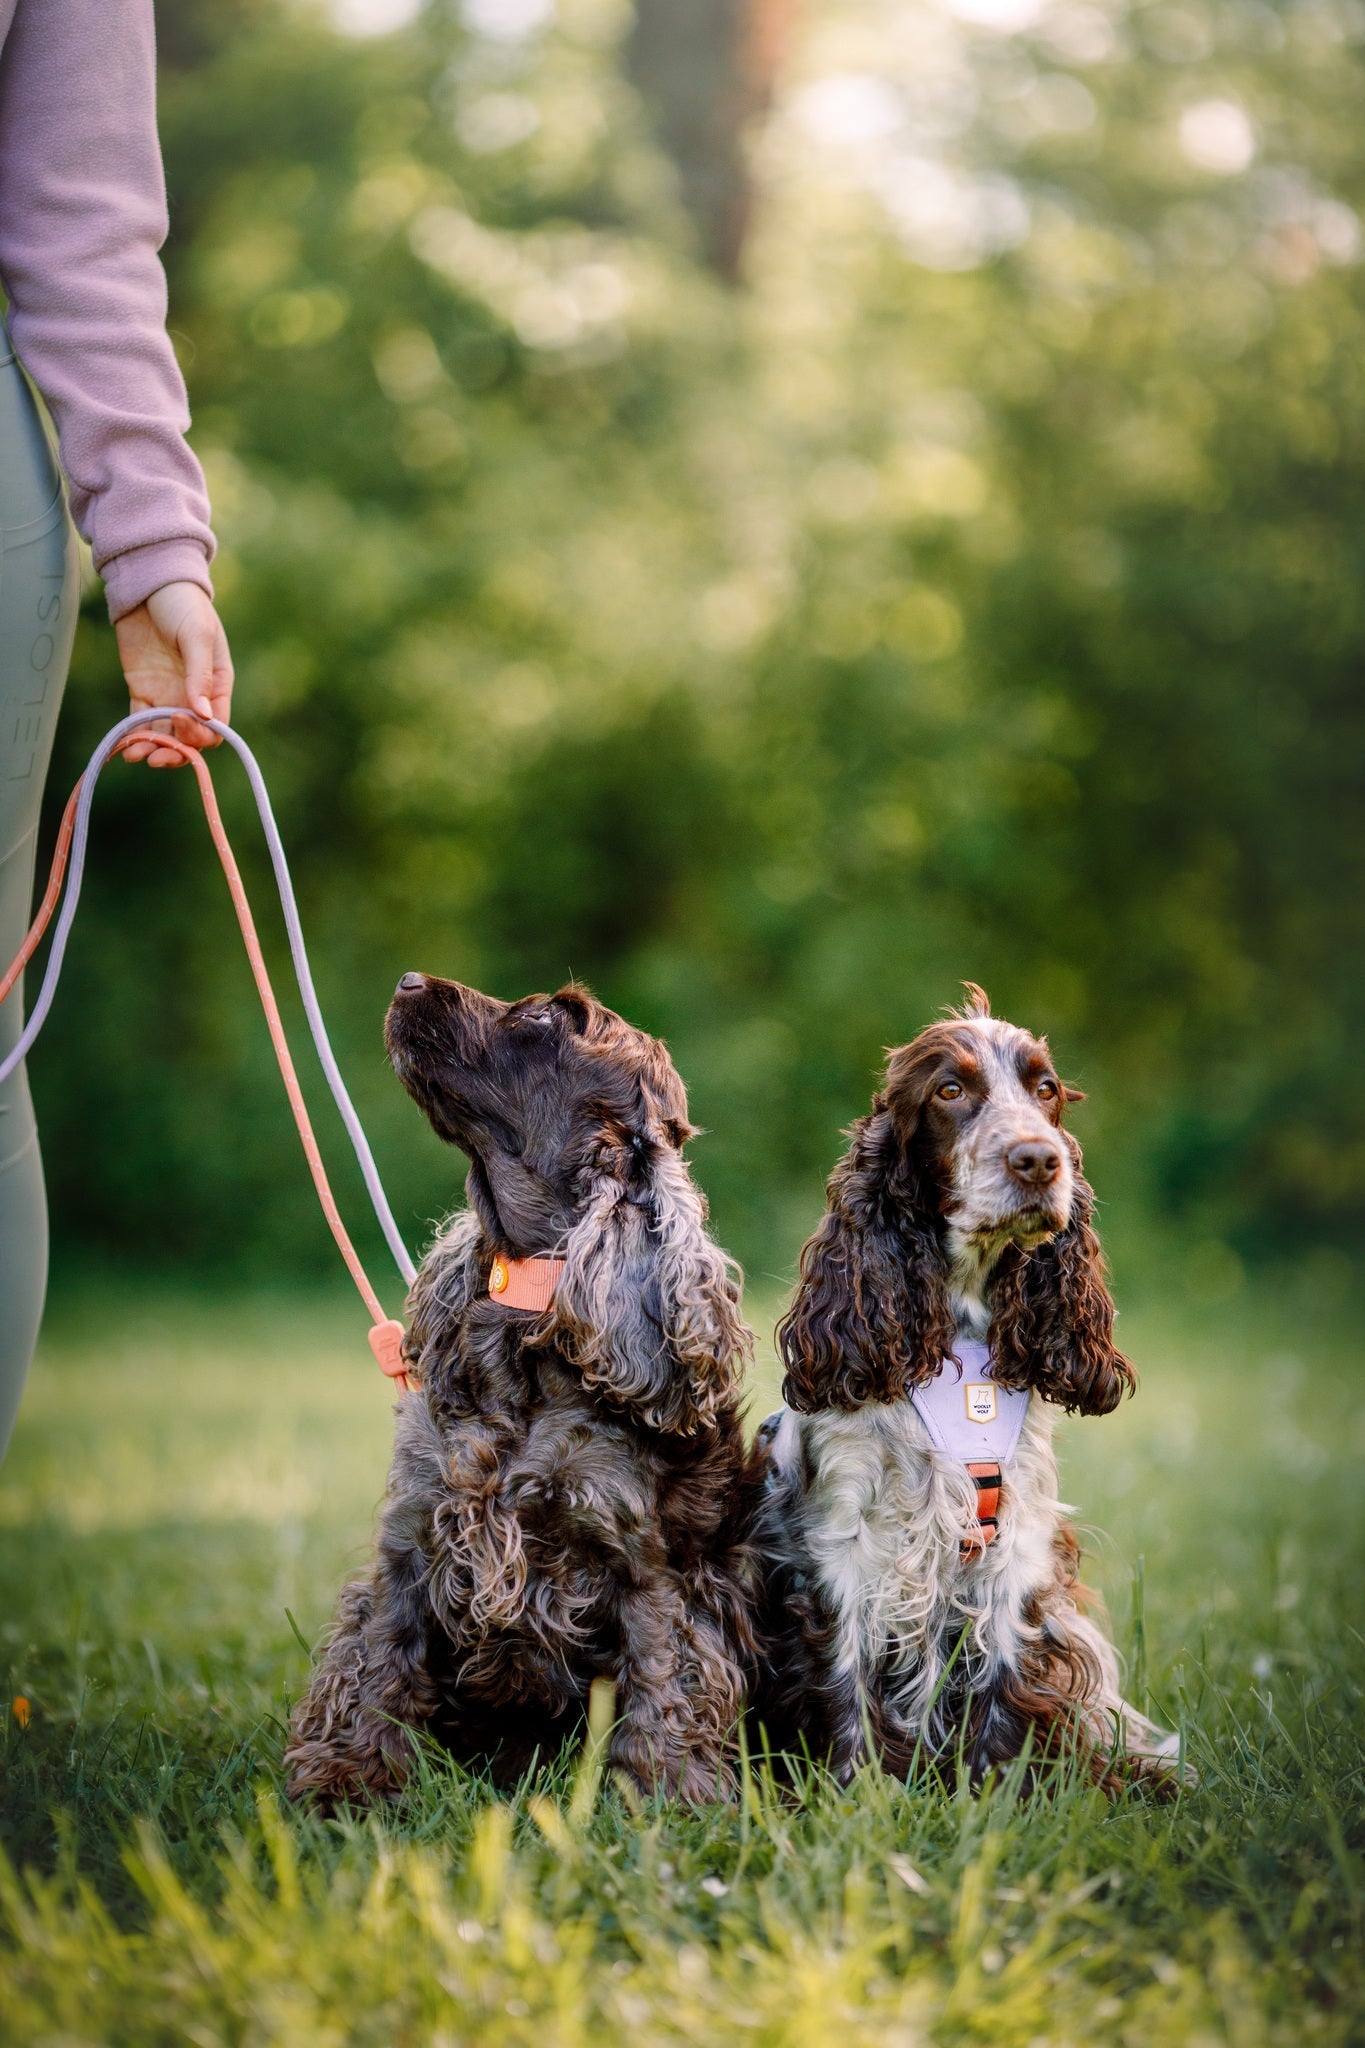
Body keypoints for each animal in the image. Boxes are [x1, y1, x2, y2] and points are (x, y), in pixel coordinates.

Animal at [286, 974, 757, 1810]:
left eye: (546, 1017)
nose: (408, 981)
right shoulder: (412, 1540)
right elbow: (378, 1663)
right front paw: (349, 1779)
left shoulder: (646, 1566)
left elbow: (663, 1681)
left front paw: (660, 1795)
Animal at [749, 987, 1186, 1794]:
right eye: (949, 1091)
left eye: (1045, 1090)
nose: (1039, 1160)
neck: (960, 1333)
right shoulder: (841, 1545)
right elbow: (848, 1690)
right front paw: (858, 1800)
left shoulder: (1018, 1544)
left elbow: (1003, 1690)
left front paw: (994, 1800)